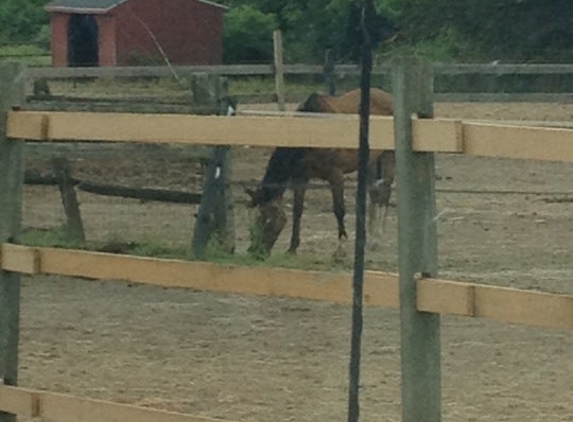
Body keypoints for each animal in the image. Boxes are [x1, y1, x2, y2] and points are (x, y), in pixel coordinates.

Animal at [246, 87, 394, 256]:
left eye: (266, 218)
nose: (255, 251)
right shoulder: (301, 178)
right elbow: (297, 210)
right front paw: (292, 247)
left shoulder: (336, 175)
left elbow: (339, 210)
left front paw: (341, 248)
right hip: (371, 161)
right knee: (375, 193)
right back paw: (369, 238)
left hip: (388, 155)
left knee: (385, 191)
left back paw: (377, 238)